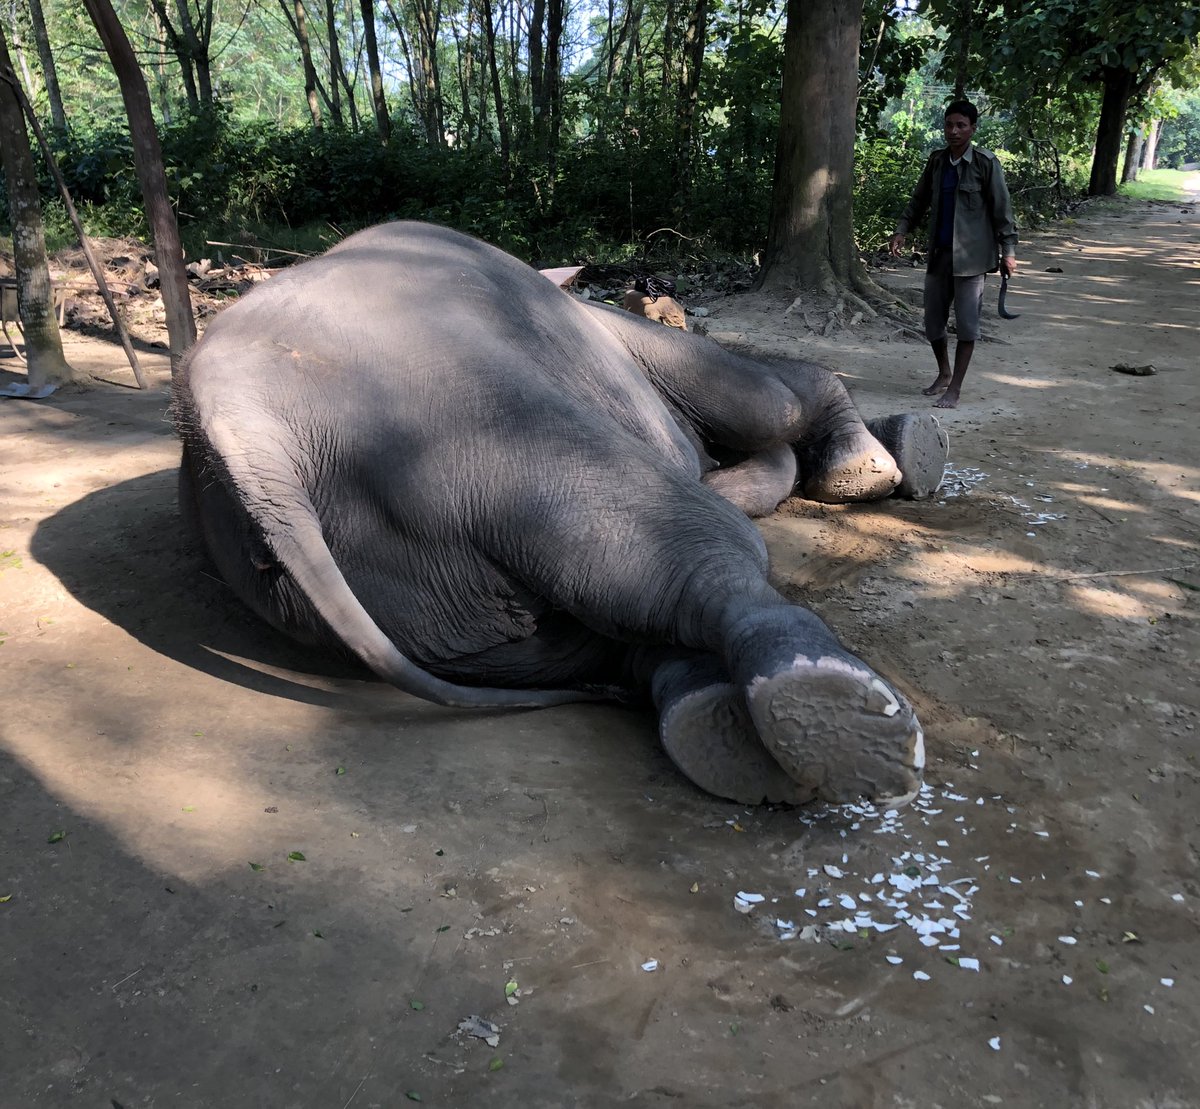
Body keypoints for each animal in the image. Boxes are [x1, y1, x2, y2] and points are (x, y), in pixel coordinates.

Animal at [173, 221, 948, 809]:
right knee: (702, 525)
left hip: (409, 585)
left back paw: (717, 729)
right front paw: (877, 468)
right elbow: (765, 407)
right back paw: (835, 714)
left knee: (600, 629)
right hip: (478, 420)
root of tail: (243, 419)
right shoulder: (617, 340)